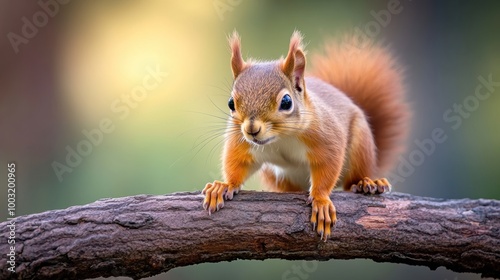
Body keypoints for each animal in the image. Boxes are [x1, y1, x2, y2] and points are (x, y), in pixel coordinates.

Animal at [201, 30, 408, 241]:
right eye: (231, 103)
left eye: (286, 101)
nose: (251, 130)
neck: (281, 138)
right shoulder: (242, 142)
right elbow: (238, 163)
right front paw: (224, 185)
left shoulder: (326, 138)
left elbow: (327, 167)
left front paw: (321, 200)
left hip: (361, 144)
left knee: (353, 179)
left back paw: (367, 182)